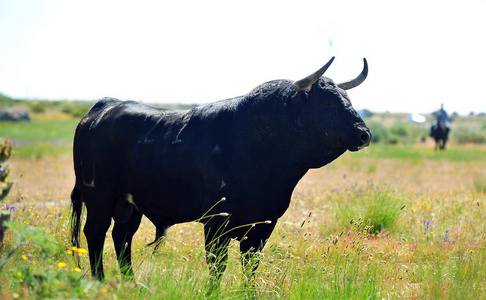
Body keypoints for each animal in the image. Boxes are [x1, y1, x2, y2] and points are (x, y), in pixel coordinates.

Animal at [69, 56, 372, 284]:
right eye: (327, 102)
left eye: (347, 99)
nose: (364, 134)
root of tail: (103, 107)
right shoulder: (217, 223)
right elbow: (217, 267)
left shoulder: (263, 225)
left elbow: (251, 267)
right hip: (99, 199)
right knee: (95, 233)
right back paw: (99, 281)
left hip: (131, 205)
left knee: (122, 237)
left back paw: (132, 284)